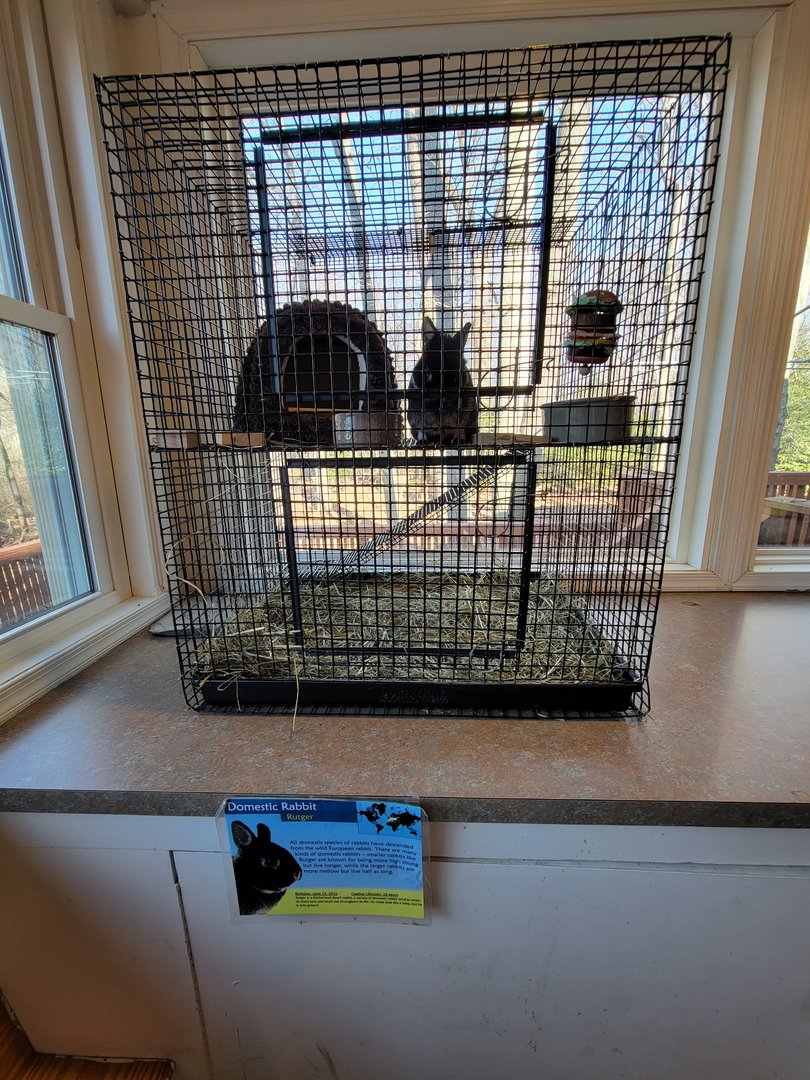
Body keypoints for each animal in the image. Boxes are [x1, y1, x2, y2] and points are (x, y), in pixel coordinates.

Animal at [407, 316, 478, 447]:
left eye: (459, 370)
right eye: (427, 373)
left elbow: (459, 429)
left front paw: (459, 440)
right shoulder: (416, 416)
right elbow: (421, 430)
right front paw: (422, 441)